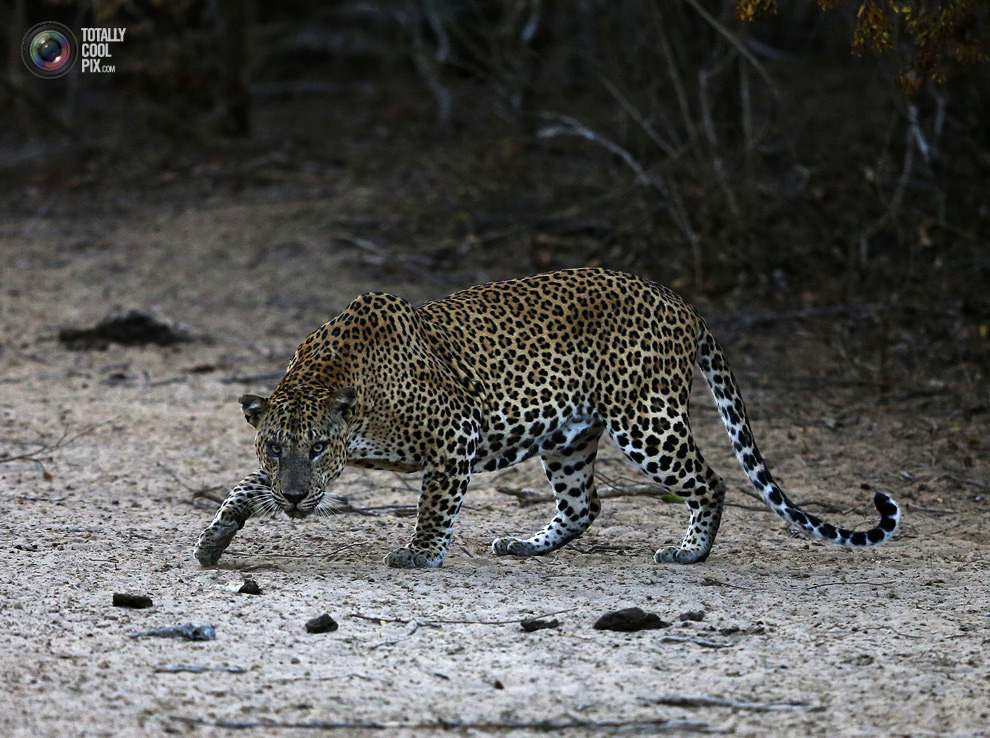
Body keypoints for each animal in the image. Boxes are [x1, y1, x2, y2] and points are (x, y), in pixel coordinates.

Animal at [192, 268, 900, 568]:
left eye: (317, 448)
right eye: (276, 447)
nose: (296, 496)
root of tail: (680, 302)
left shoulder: (455, 436)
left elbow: (434, 505)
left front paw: (420, 554)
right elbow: (244, 488)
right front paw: (217, 535)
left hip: (647, 419)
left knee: (713, 481)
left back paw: (690, 552)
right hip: (568, 435)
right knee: (585, 502)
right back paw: (526, 544)